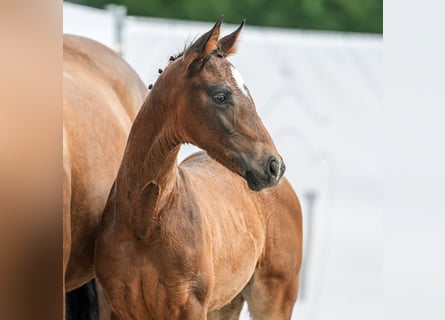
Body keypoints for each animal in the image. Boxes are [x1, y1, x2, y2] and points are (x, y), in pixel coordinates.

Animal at [93, 18, 302, 320]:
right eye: (220, 96)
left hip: (274, 298)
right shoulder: (120, 307)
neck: (147, 219)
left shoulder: (189, 306)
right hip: (226, 304)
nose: (274, 165)